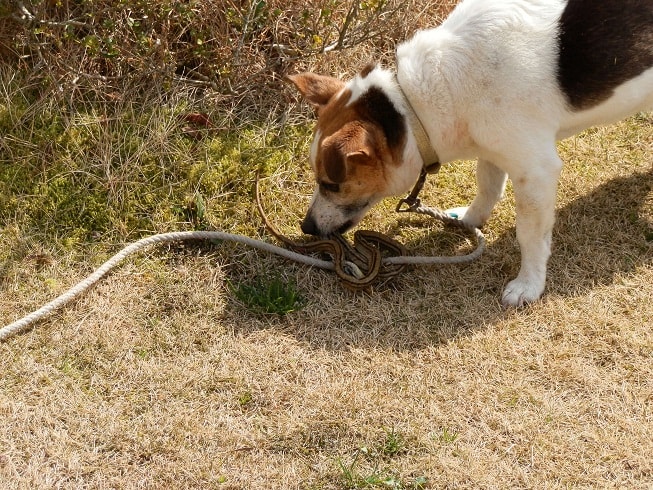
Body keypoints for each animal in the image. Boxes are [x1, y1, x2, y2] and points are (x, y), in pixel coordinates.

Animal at [290, 0, 652, 306]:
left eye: (331, 183)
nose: (306, 227)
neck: (416, 101)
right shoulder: (492, 146)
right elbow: (488, 186)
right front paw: (469, 220)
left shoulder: (535, 171)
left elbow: (530, 235)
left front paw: (529, 284)